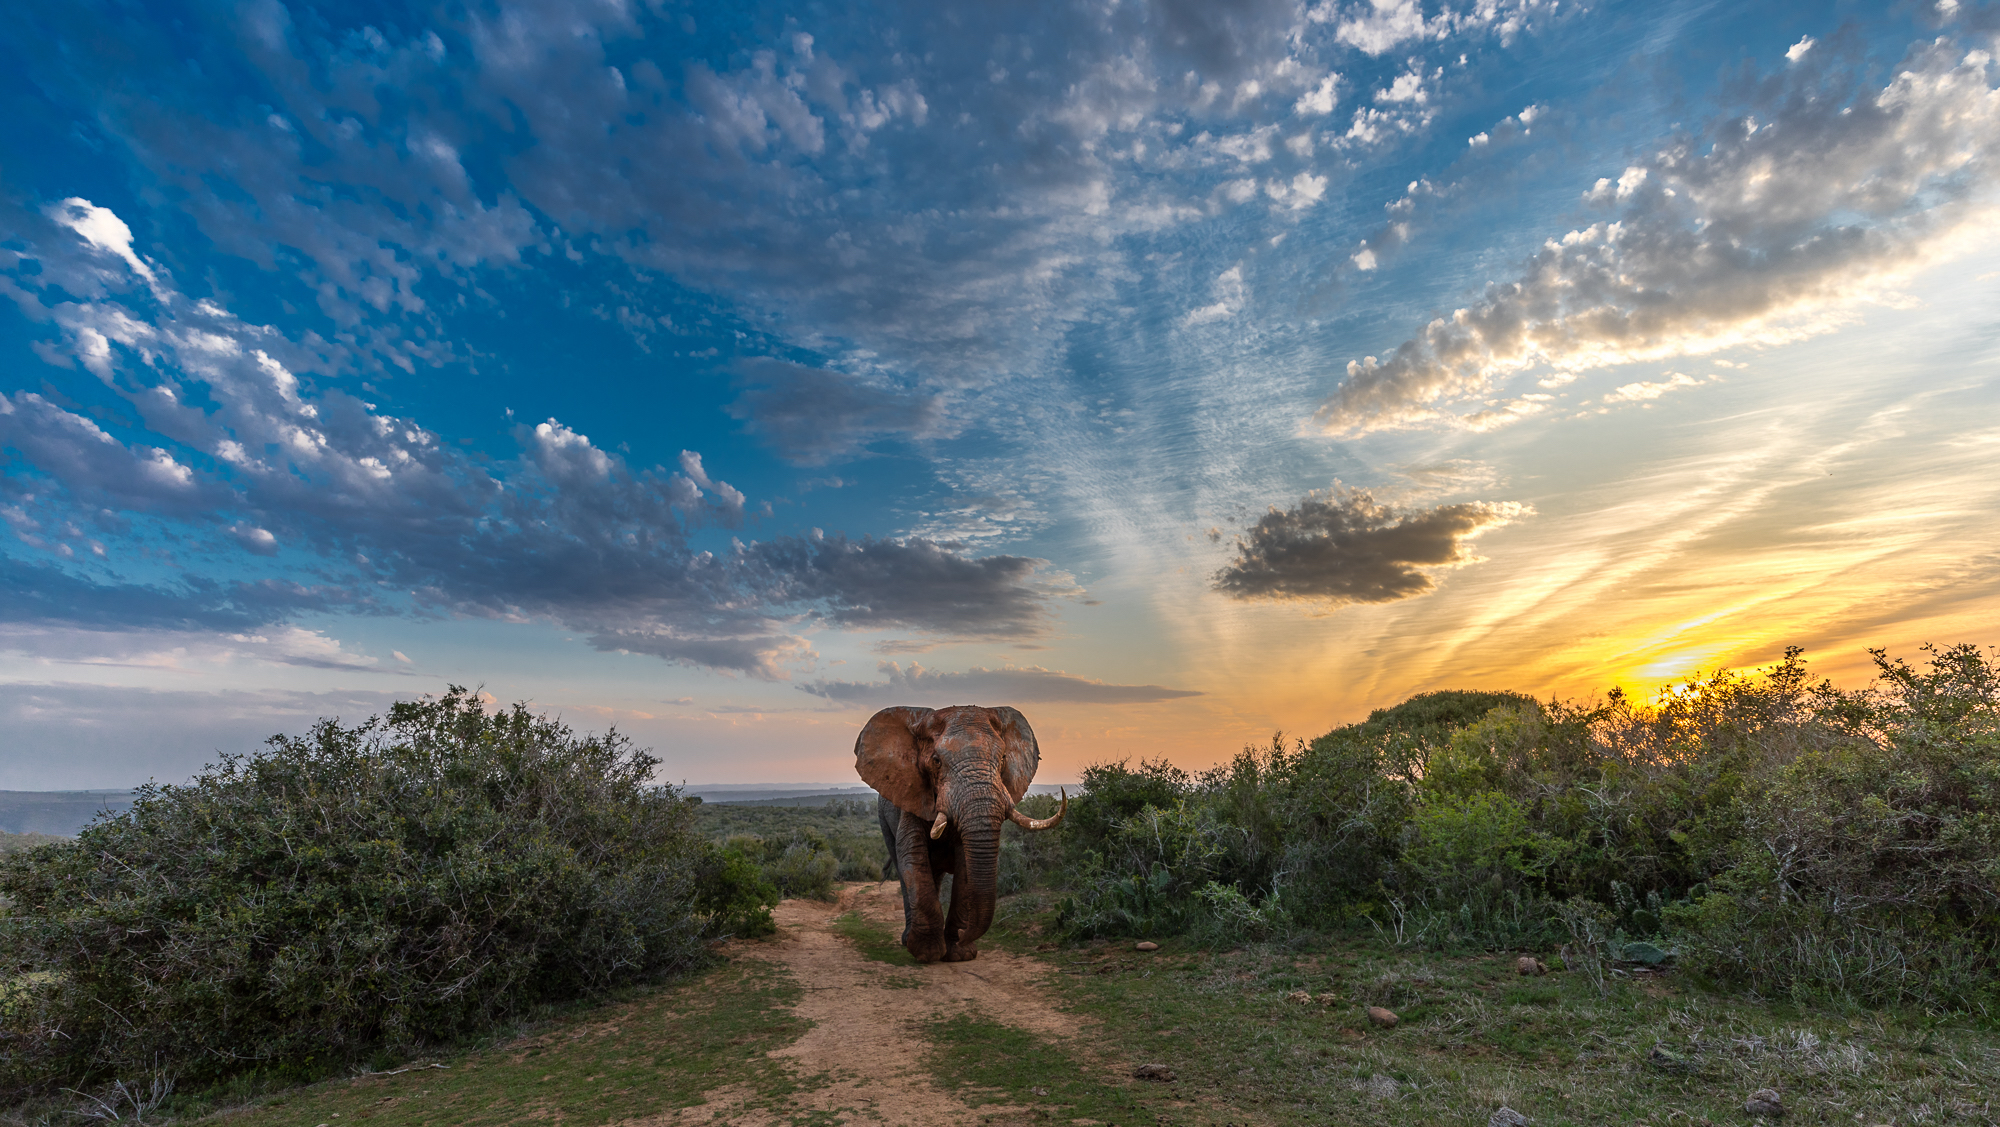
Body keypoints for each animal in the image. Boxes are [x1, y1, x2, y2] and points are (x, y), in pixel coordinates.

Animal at [864, 703, 1080, 959]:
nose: (962, 935)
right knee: (903, 867)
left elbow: (965, 866)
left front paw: (959, 953)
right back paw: (908, 941)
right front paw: (928, 954)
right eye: (936, 761)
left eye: (1003, 758)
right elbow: (913, 855)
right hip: (884, 818)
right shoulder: (912, 795)